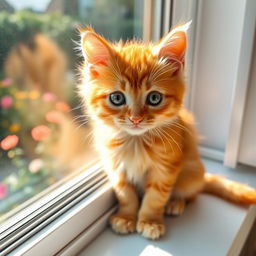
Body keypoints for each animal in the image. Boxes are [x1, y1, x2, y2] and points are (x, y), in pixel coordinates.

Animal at [78, 24, 256, 240]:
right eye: (117, 98)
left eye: (154, 98)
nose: (135, 119)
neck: (136, 142)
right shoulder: (116, 166)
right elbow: (125, 194)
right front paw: (126, 216)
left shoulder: (165, 168)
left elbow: (155, 197)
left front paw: (150, 221)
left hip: (191, 173)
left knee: (192, 194)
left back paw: (175, 203)